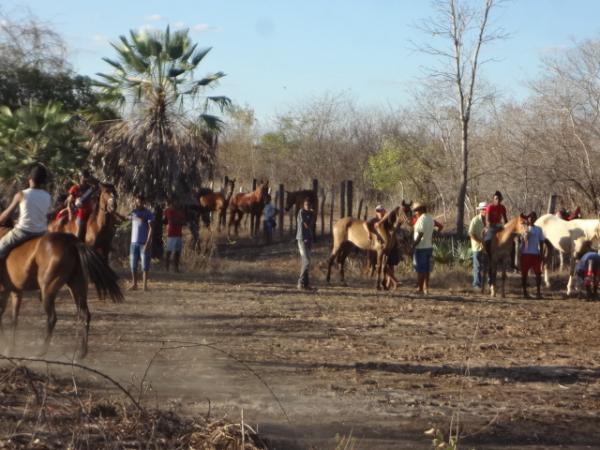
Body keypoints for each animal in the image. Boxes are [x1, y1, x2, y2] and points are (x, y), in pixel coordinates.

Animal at [0, 229, 123, 358]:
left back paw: (41, 351)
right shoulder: (15, 292)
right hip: (77, 288)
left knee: (52, 318)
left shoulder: (4, 292)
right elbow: (14, 319)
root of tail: (72, 242)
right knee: (85, 314)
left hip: (47, 291)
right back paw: (81, 353)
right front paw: (10, 348)